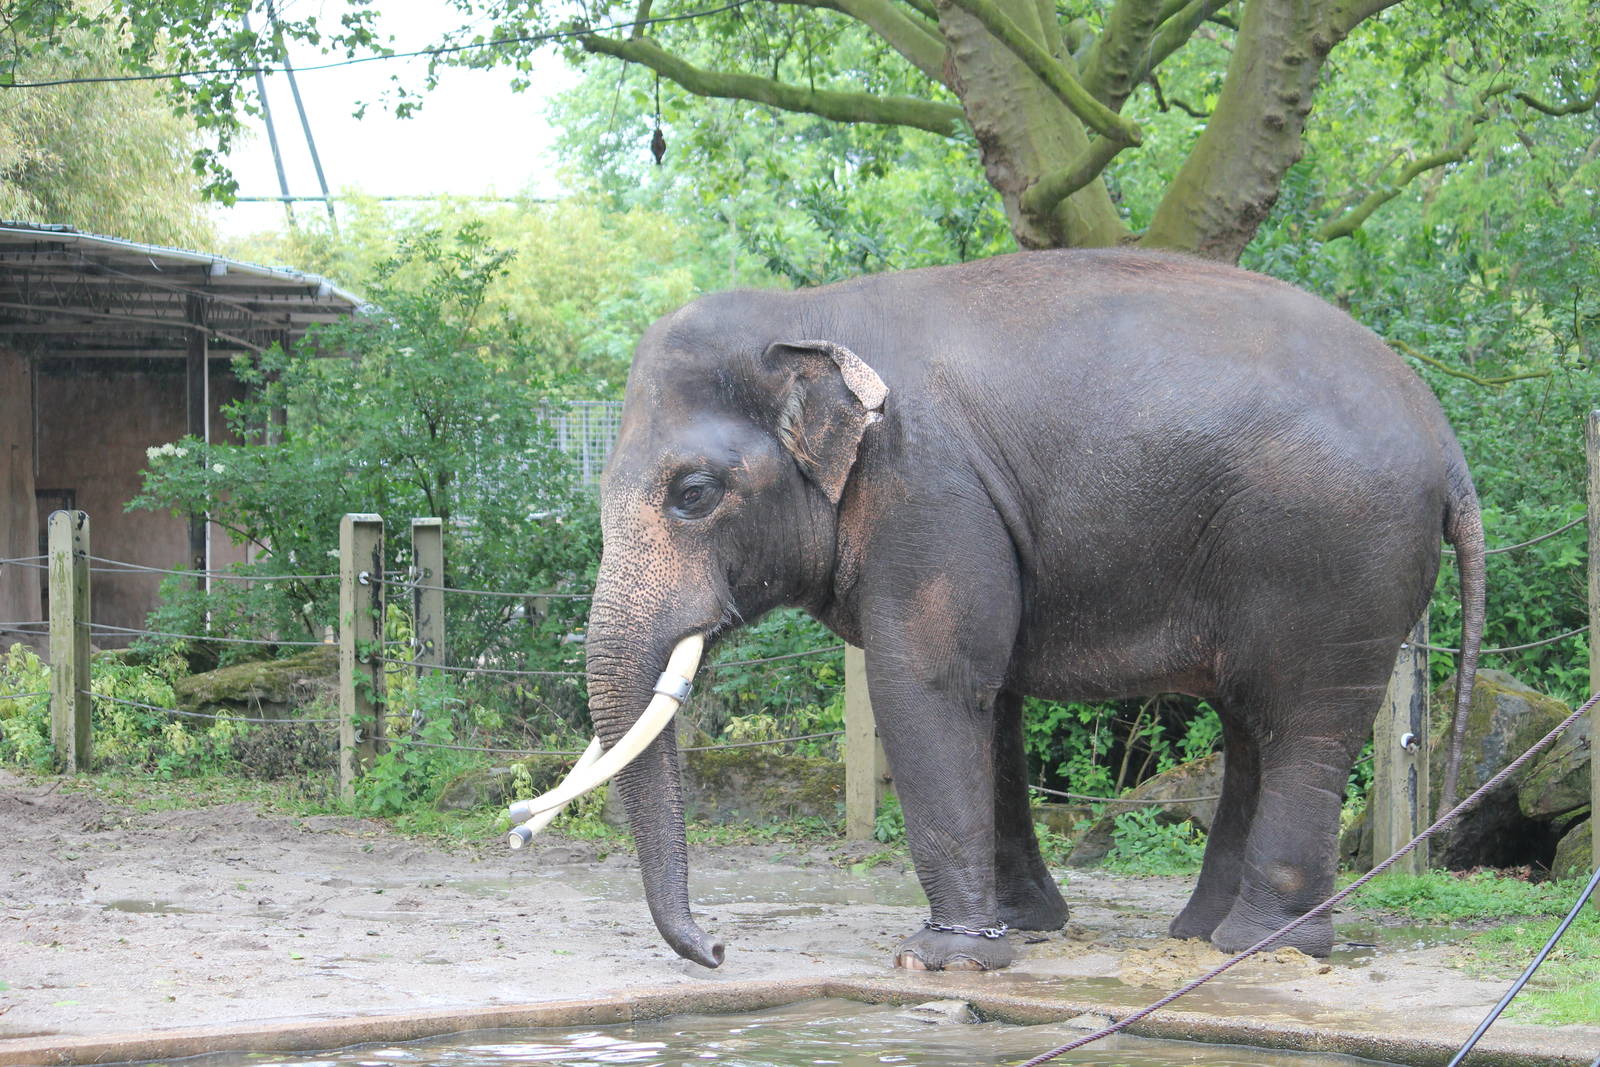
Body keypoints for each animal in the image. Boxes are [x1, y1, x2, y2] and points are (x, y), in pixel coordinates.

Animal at [513, 248, 1486, 972]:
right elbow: (994, 699)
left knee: (1305, 720)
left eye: (693, 494)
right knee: (1253, 719)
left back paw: (1261, 948)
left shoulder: (928, 490)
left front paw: (942, 957)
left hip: (1334, 560)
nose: (717, 947)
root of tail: (1445, 434)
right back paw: (1201, 934)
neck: (808, 317)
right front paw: (1020, 928)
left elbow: (929, 684)